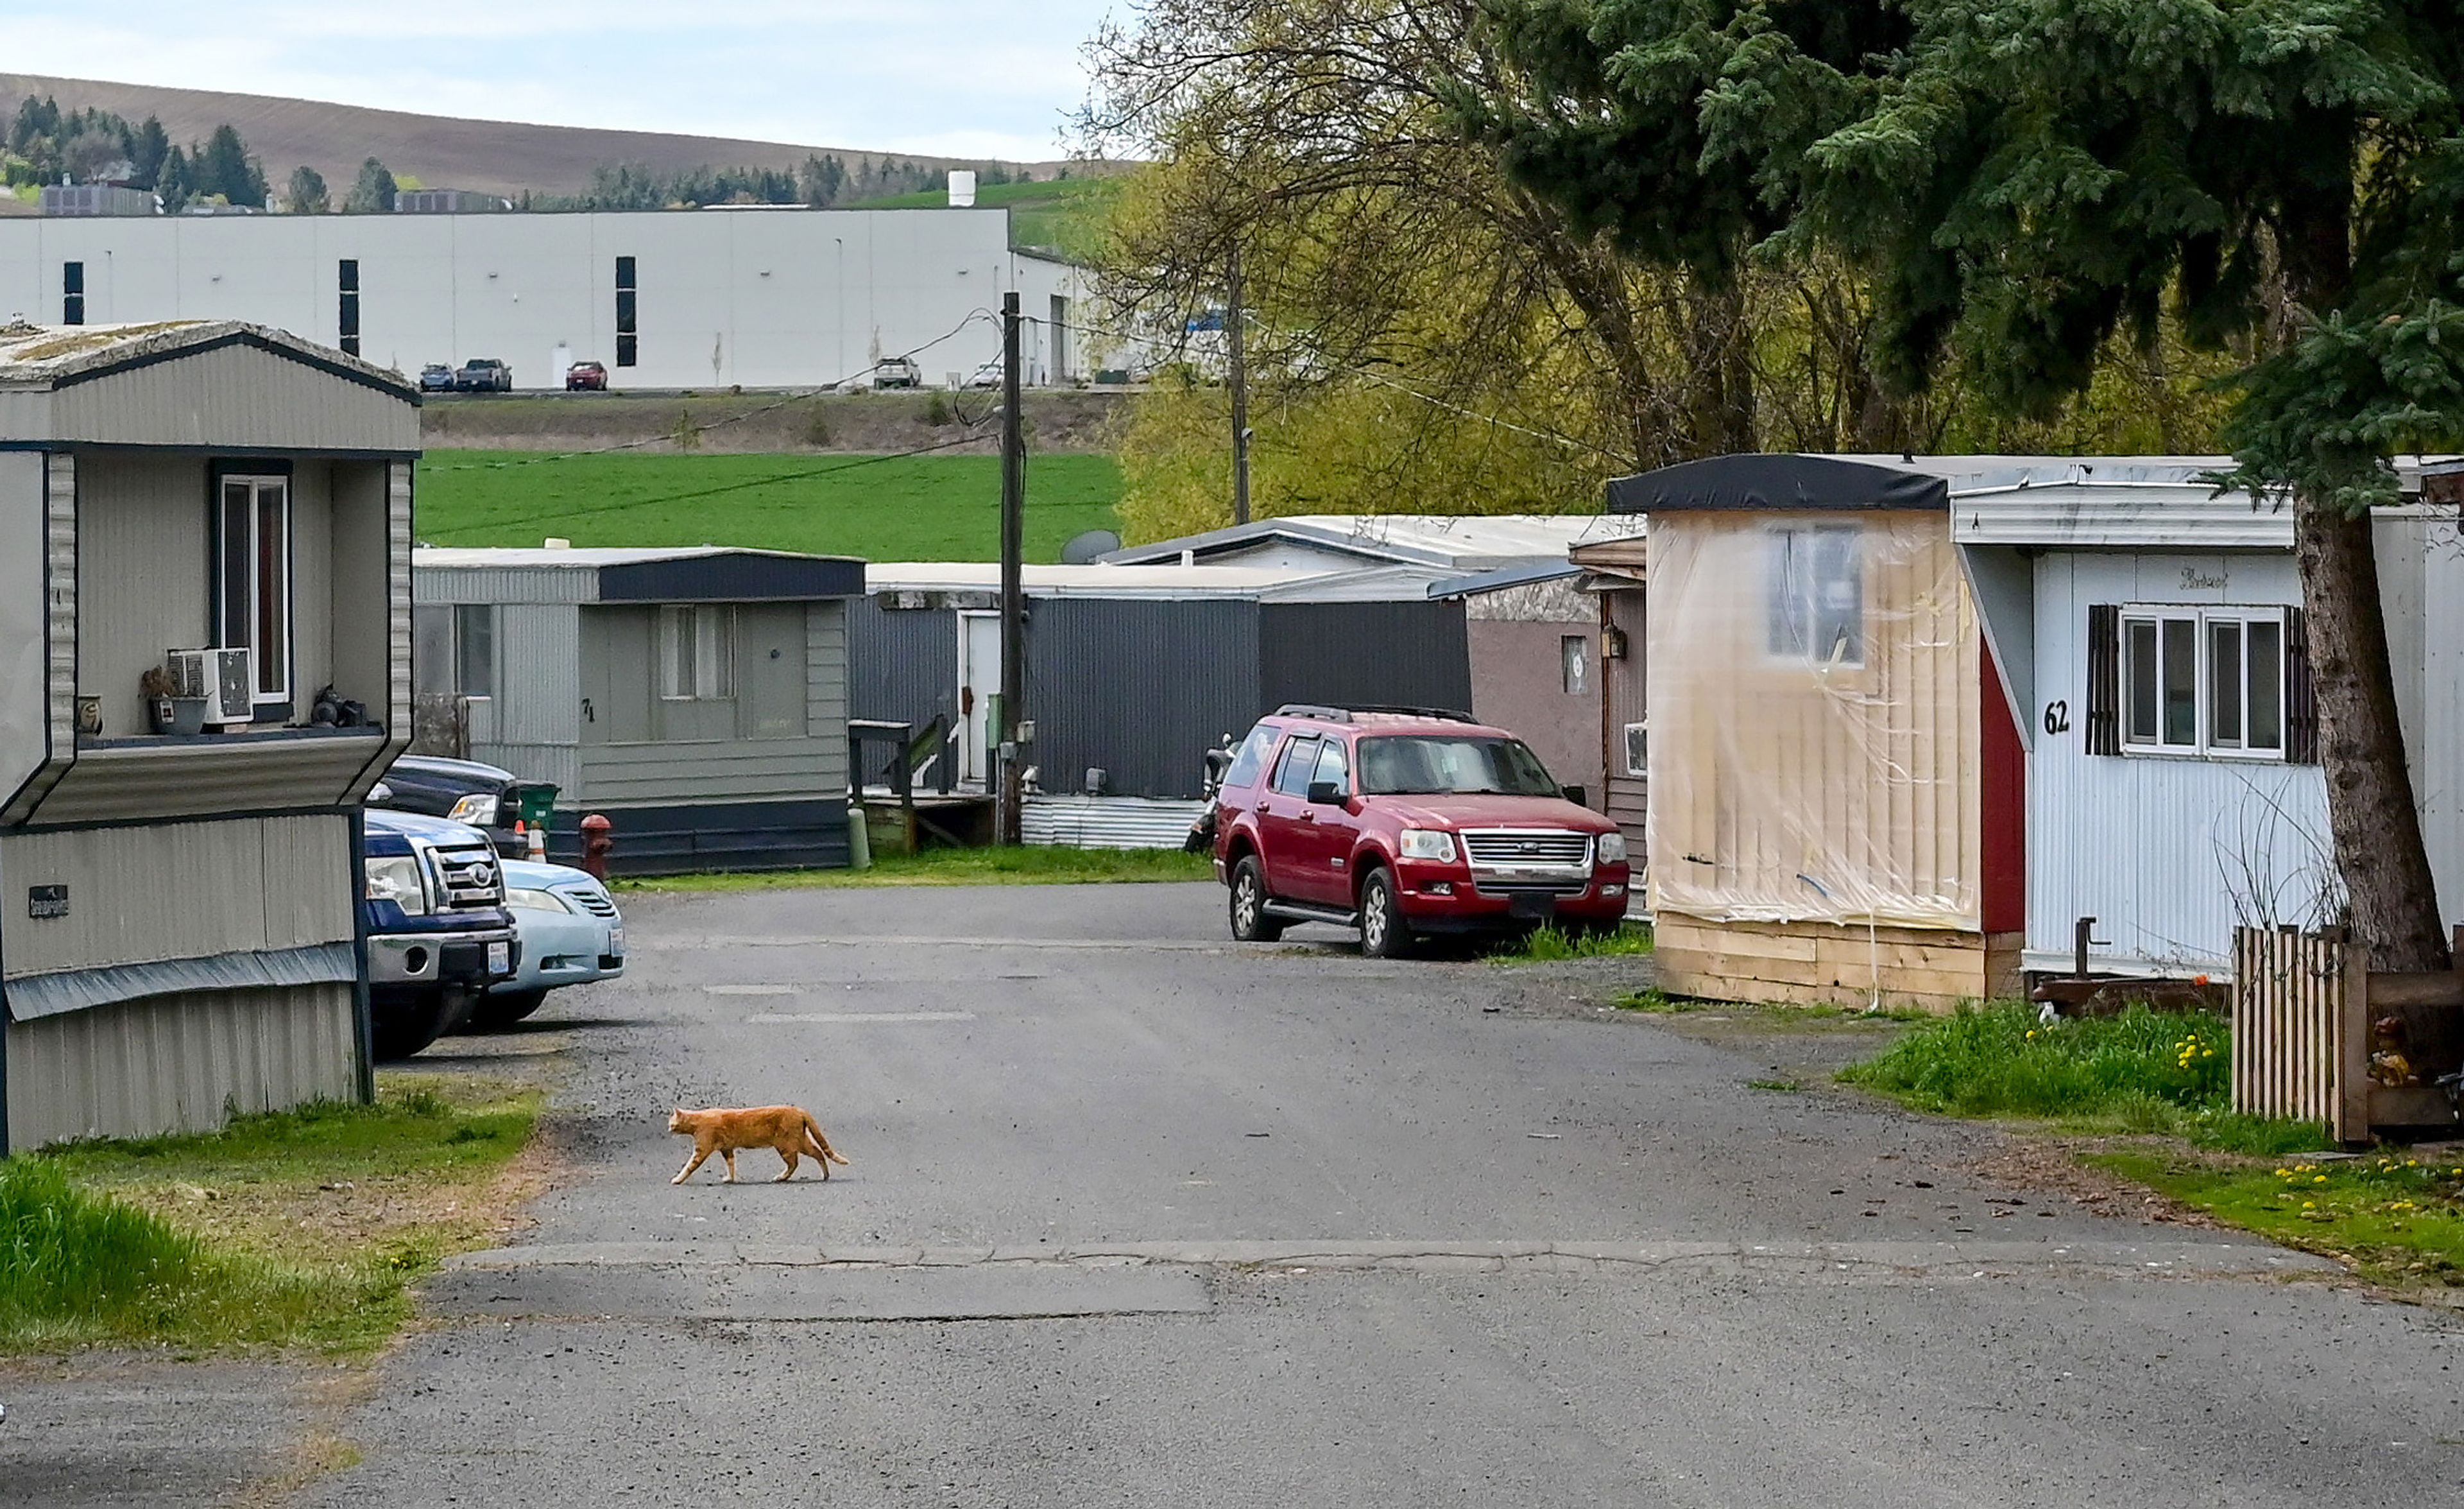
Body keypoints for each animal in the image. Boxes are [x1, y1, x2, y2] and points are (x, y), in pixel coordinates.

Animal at [670, 1104, 852, 1183]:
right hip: (799, 1141)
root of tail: (798, 1109)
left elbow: (689, 1166)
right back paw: (825, 1175)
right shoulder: (727, 1149)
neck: (697, 1121)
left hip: (788, 1145)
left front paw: (678, 1179)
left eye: (671, 1124)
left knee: (800, 1160)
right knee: (816, 1153)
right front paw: (730, 1178)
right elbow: (731, 1164)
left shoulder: (702, 1149)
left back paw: (783, 1177)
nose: (668, 1130)